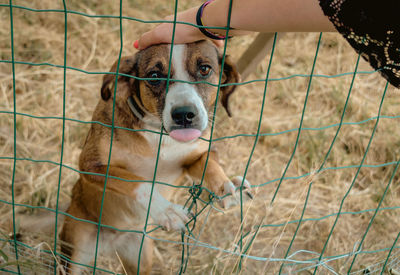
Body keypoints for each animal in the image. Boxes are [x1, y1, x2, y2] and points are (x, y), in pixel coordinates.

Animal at [59, 40, 253, 274]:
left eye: (205, 69)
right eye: (154, 75)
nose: (184, 114)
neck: (160, 136)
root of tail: (111, 241)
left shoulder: (196, 155)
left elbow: (210, 164)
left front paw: (227, 188)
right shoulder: (91, 165)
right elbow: (138, 182)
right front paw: (166, 210)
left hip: (140, 258)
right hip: (74, 252)